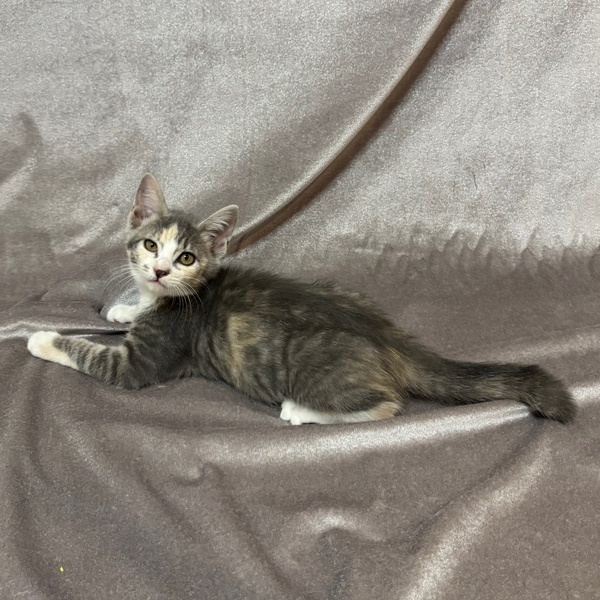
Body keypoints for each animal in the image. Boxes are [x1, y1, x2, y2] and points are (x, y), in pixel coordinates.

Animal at [27, 174, 576, 425]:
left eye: (186, 258)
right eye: (149, 245)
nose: (160, 270)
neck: (177, 297)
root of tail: (392, 338)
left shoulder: (141, 363)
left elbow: (92, 354)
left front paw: (43, 338)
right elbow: (131, 309)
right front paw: (125, 305)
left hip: (322, 372)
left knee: (386, 406)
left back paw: (302, 411)